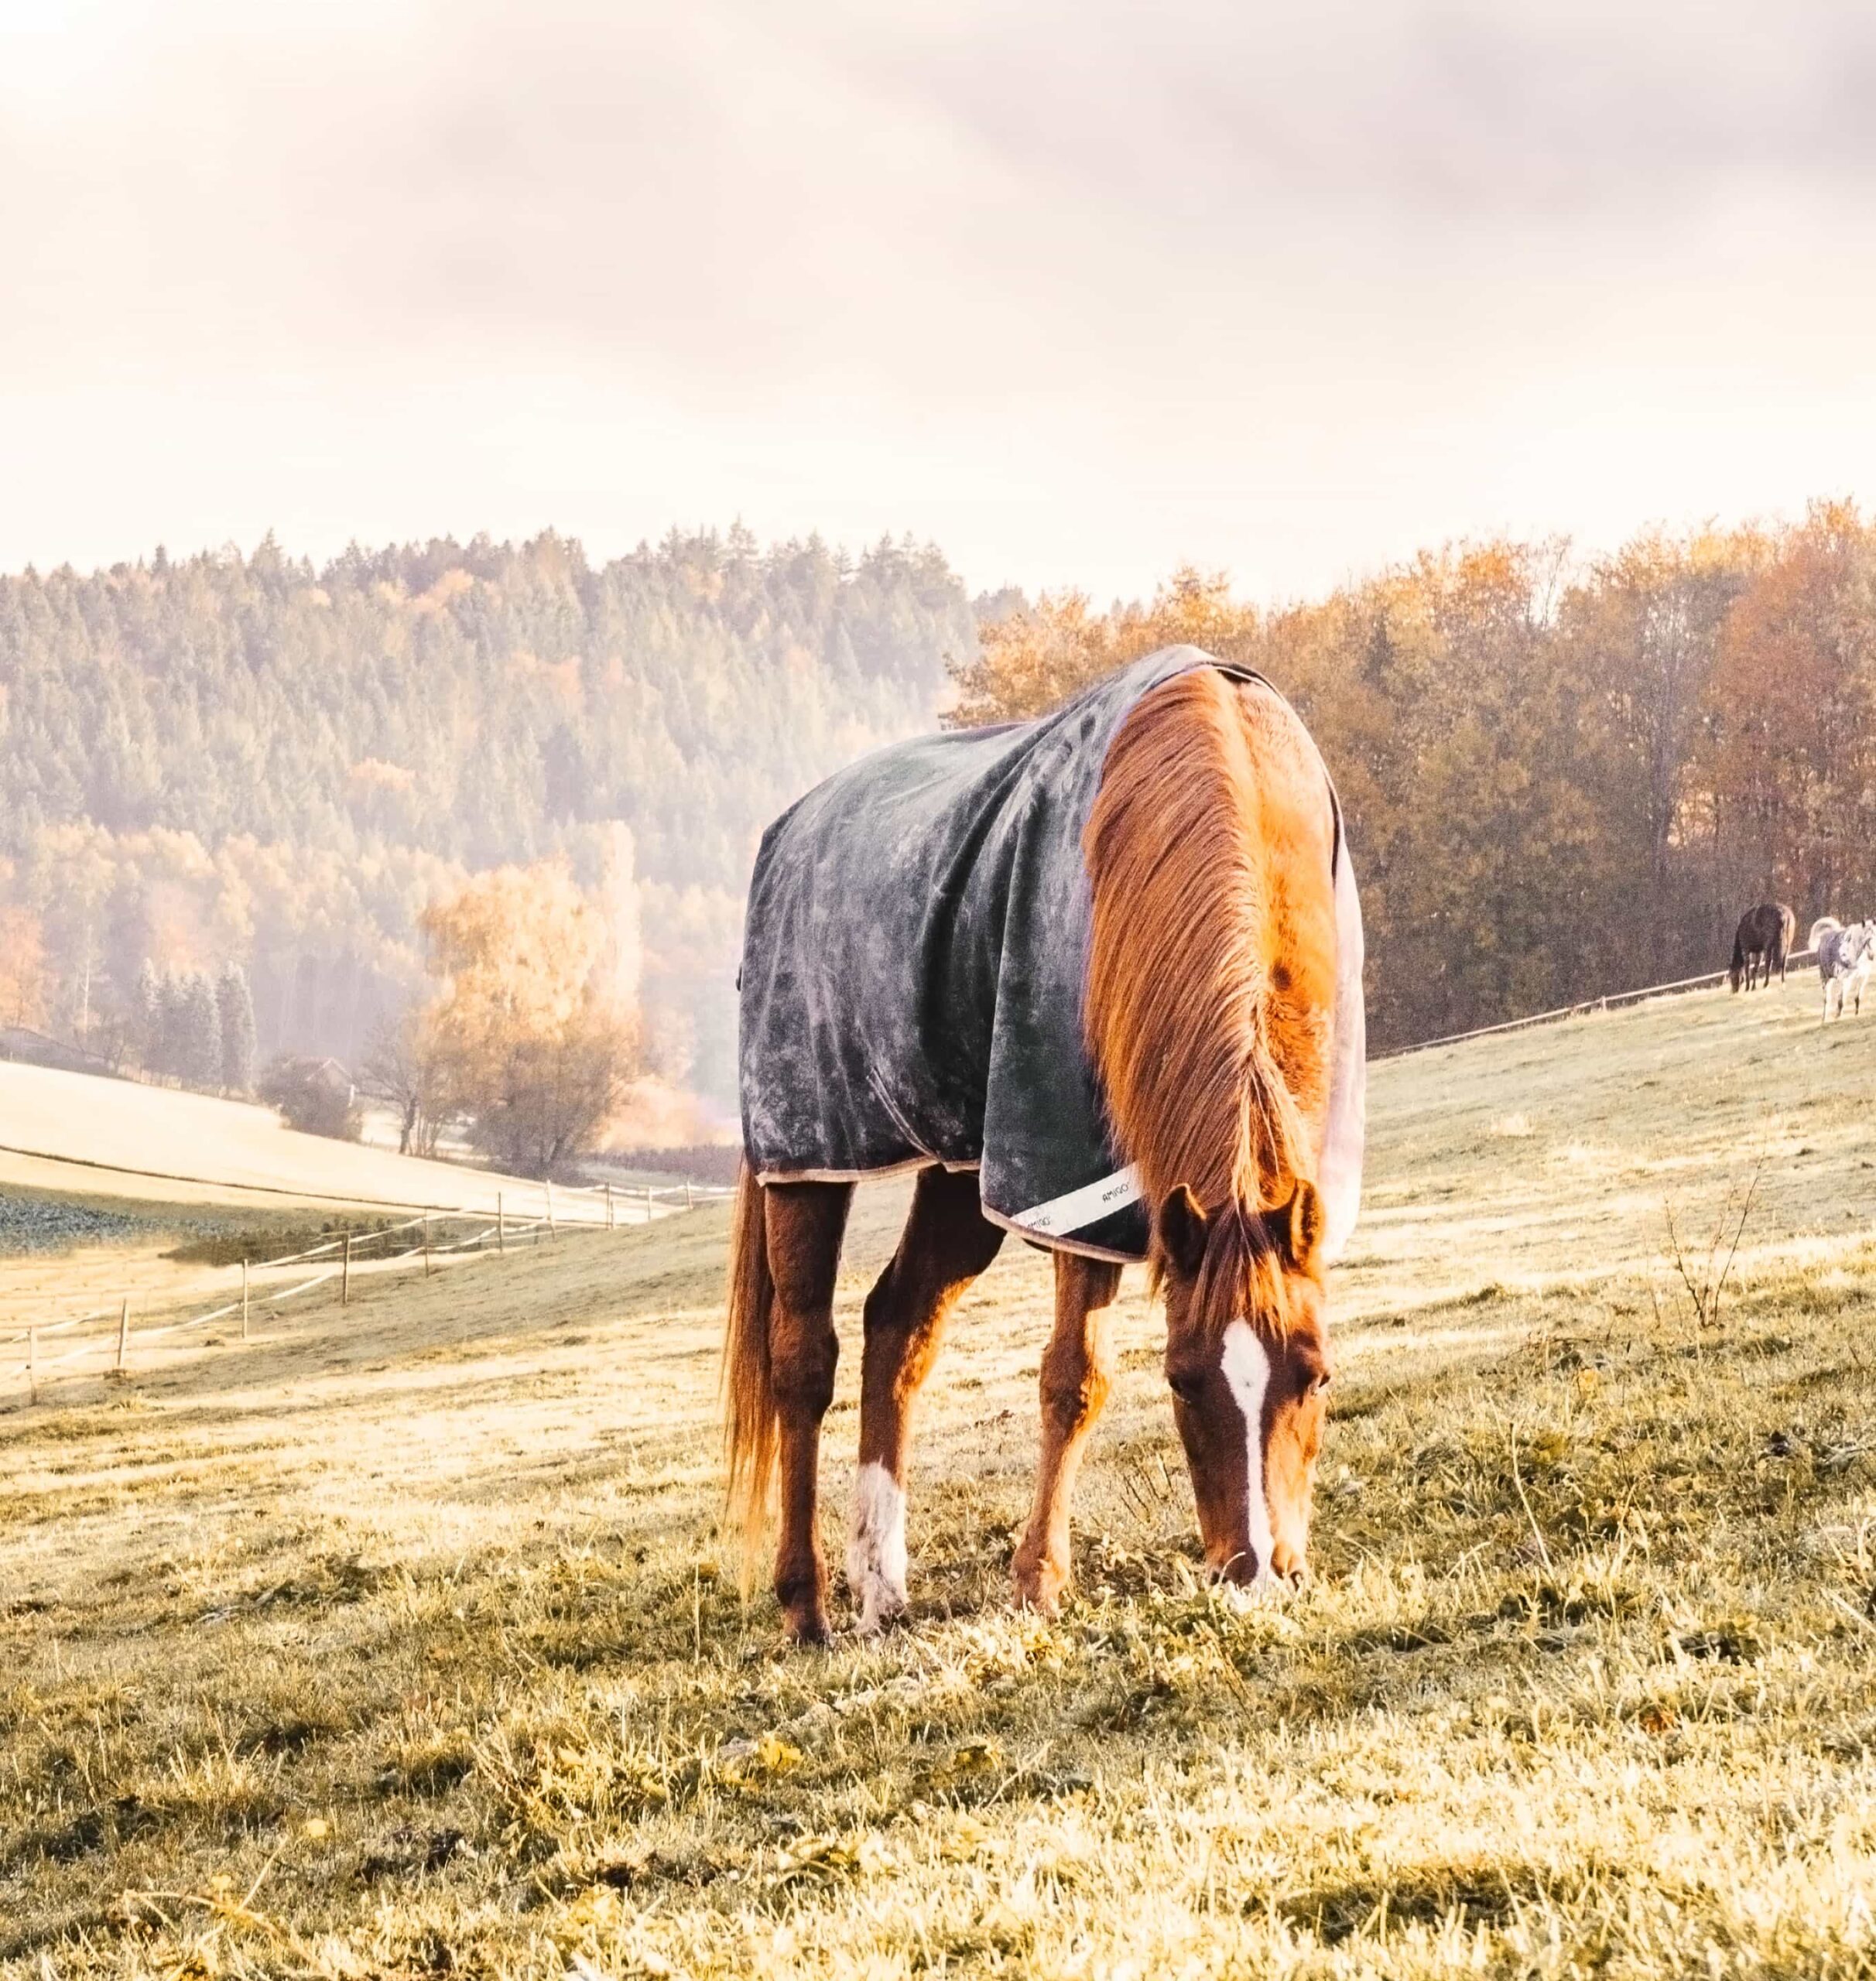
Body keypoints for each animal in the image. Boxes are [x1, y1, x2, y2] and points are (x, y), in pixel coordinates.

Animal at [724, 648, 1364, 1643]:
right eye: (1182, 1381)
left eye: (1319, 1374)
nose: (1259, 1574)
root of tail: (792, 825)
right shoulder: (1066, 1172)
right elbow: (1076, 1378)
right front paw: (1040, 1579)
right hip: (808, 1155)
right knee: (804, 1360)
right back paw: (808, 1602)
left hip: (963, 1171)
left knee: (897, 1325)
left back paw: (881, 1582)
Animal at [1814, 917, 1876, 1021]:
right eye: (1866, 940)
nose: (1872, 956)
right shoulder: (1845, 978)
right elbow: (1841, 997)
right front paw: (1837, 1015)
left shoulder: (1862, 977)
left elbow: (1857, 997)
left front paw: (1857, 1013)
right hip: (1825, 978)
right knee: (1827, 999)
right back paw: (1824, 1018)